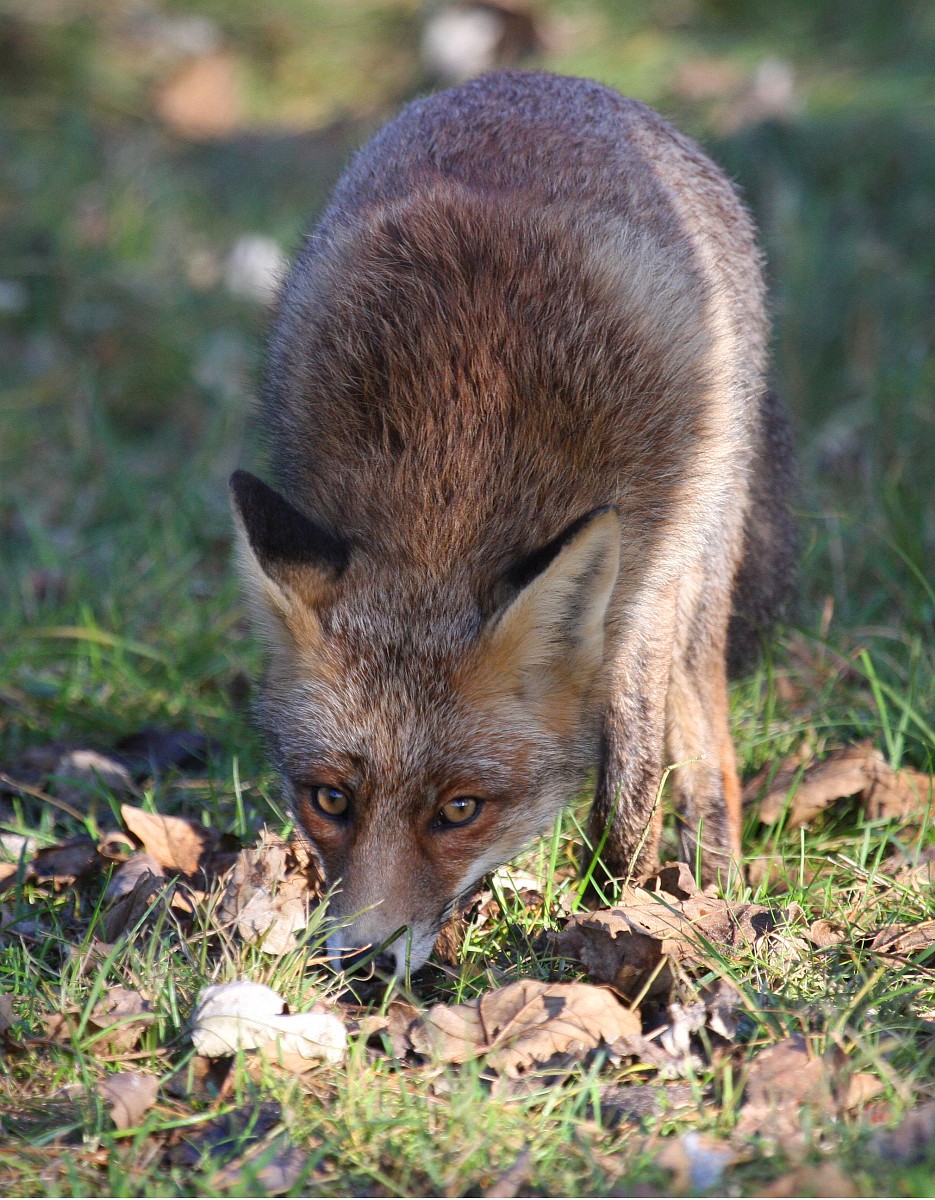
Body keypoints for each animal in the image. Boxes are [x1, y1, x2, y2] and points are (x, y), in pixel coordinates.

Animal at [230, 70, 794, 975]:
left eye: (461, 809)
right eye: (331, 799)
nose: (364, 963)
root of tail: (537, 81)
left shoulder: (643, 587)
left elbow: (630, 786)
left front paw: (612, 911)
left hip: (700, 555)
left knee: (705, 743)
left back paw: (712, 878)